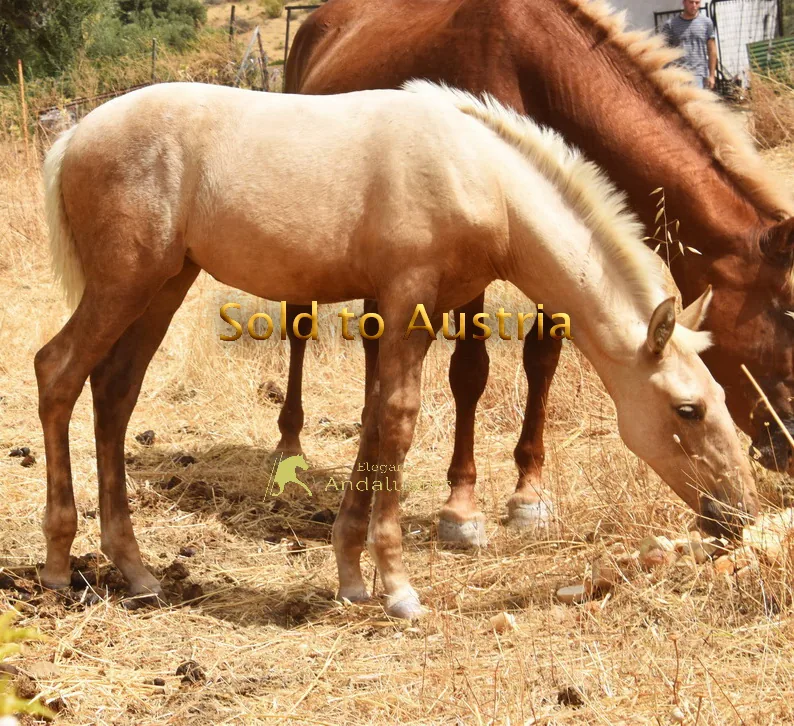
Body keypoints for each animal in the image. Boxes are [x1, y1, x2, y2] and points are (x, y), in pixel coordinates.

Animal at [38, 80, 756, 618]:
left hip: (165, 284)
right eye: (688, 409)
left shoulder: (413, 311)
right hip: (124, 284)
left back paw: (135, 570)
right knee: (58, 371)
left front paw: (353, 575)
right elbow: (400, 422)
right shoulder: (408, 299)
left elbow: (376, 420)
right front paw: (399, 587)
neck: (481, 175)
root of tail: (74, 136)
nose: (740, 512)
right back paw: (56, 564)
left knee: (115, 392)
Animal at [284, 0, 794, 546]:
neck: (541, 70)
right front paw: (460, 506)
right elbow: (470, 371)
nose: (789, 447)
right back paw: (288, 448)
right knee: (300, 326)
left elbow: (542, 359)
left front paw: (529, 494)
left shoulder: (561, 243)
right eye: (787, 309)